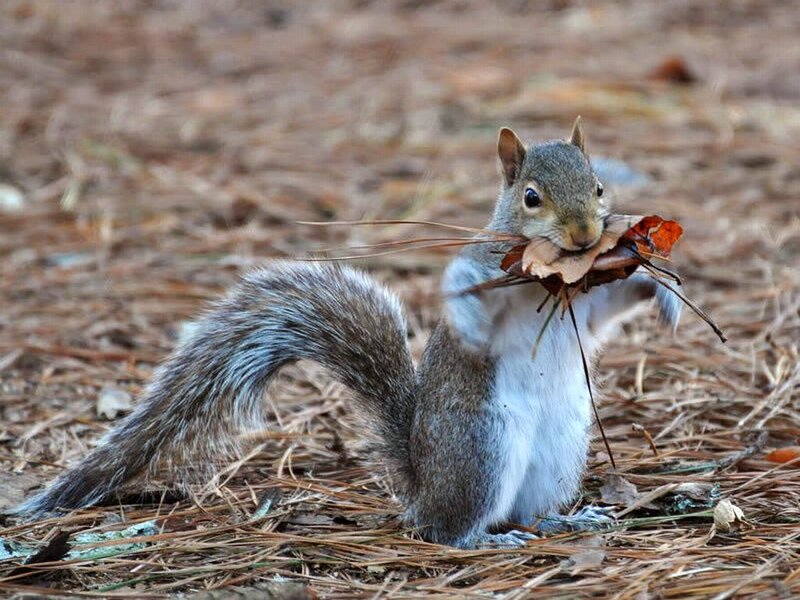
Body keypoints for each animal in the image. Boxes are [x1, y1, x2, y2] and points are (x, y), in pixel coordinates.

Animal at [16, 118, 680, 548]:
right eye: (531, 197)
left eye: (599, 186)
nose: (586, 235)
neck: (556, 275)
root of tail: (423, 483)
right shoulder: (485, 264)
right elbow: (462, 287)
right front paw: (468, 322)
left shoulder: (586, 298)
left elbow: (610, 303)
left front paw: (663, 295)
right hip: (482, 448)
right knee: (448, 528)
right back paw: (481, 539)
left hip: (557, 454)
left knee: (526, 511)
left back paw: (565, 522)